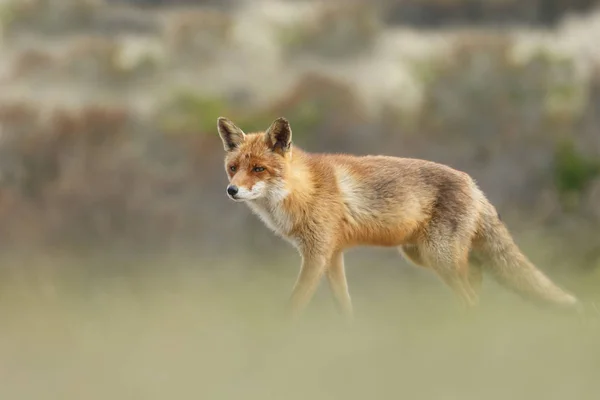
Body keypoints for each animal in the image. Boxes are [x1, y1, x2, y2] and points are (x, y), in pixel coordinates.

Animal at [216, 116, 580, 322]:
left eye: (259, 169)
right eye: (234, 168)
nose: (232, 190)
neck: (303, 190)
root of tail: (474, 184)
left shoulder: (316, 254)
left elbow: (293, 304)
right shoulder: (332, 255)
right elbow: (344, 306)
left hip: (439, 256)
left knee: (470, 297)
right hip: (426, 255)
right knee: (476, 285)